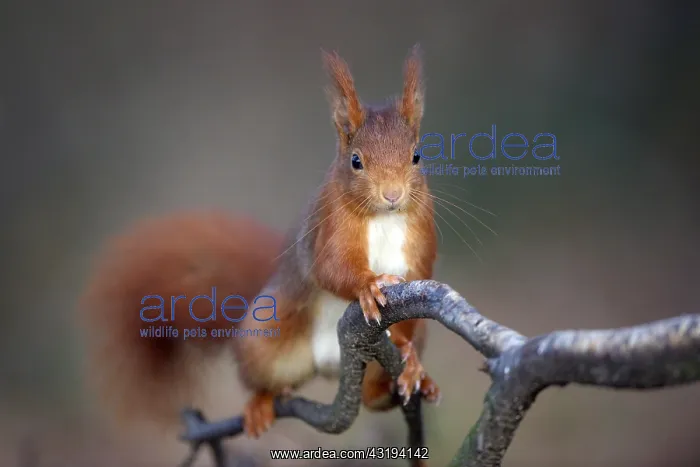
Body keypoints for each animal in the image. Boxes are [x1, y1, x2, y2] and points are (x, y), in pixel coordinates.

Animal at [79, 45, 441, 439]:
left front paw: (411, 361)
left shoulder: (420, 240)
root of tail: (330, 363)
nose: (392, 195)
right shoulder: (328, 228)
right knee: (262, 375)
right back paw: (259, 404)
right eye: (356, 161)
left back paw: (400, 383)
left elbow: (413, 295)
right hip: (266, 336)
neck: (384, 219)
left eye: (417, 156)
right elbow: (331, 267)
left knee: (373, 395)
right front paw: (369, 286)